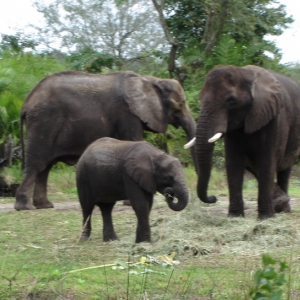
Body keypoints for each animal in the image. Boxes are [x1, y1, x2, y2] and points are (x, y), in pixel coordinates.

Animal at [14, 70, 197, 211]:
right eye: (180, 105)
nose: (170, 194)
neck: (149, 80)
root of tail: (26, 103)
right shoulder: (128, 114)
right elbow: (133, 141)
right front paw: (129, 203)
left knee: (45, 166)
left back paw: (44, 206)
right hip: (44, 121)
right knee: (37, 163)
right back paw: (25, 207)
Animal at [185, 65, 300, 219]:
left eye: (231, 101)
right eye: (200, 98)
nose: (213, 198)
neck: (245, 73)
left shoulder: (272, 117)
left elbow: (266, 162)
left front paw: (265, 218)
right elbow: (233, 163)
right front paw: (234, 216)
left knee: (284, 168)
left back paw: (283, 208)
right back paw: (280, 204)